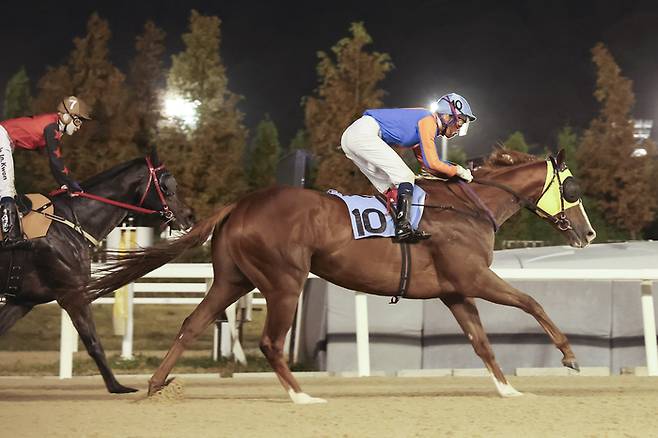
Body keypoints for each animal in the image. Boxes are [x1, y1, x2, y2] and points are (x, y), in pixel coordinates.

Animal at [0, 151, 193, 394]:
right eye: (168, 185)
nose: (188, 216)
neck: (68, 223)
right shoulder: (73, 295)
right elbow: (93, 342)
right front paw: (117, 386)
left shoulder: (22, 301)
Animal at [87, 149, 596, 402]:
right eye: (572, 187)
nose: (588, 233)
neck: (468, 207)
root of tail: (242, 203)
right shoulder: (473, 279)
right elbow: (532, 302)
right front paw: (570, 356)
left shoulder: (455, 291)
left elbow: (482, 342)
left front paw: (510, 389)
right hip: (284, 281)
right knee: (270, 342)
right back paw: (302, 397)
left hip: (233, 279)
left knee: (192, 324)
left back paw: (155, 386)